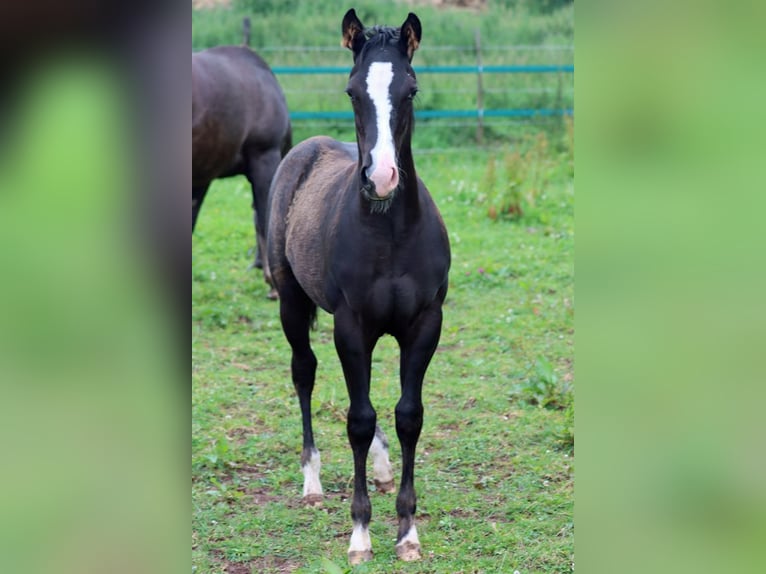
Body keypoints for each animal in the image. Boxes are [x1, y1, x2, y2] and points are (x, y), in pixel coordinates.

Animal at [268, 7, 452, 568]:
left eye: (411, 89)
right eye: (352, 90)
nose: (383, 178)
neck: (390, 234)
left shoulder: (424, 324)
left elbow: (407, 415)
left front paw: (408, 532)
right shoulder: (352, 326)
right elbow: (359, 418)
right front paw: (361, 534)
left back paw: (382, 465)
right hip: (291, 302)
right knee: (304, 373)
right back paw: (311, 480)